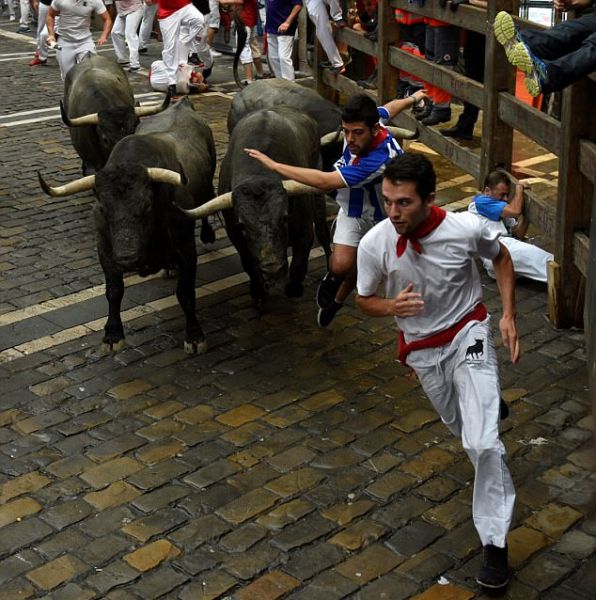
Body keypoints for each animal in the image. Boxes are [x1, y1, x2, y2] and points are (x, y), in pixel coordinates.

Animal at [40, 97, 217, 352]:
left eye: (146, 206)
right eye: (103, 208)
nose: (127, 258)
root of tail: (182, 104)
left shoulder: (186, 248)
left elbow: (185, 293)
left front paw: (194, 336)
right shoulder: (105, 251)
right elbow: (114, 291)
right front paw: (112, 335)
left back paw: (207, 235)